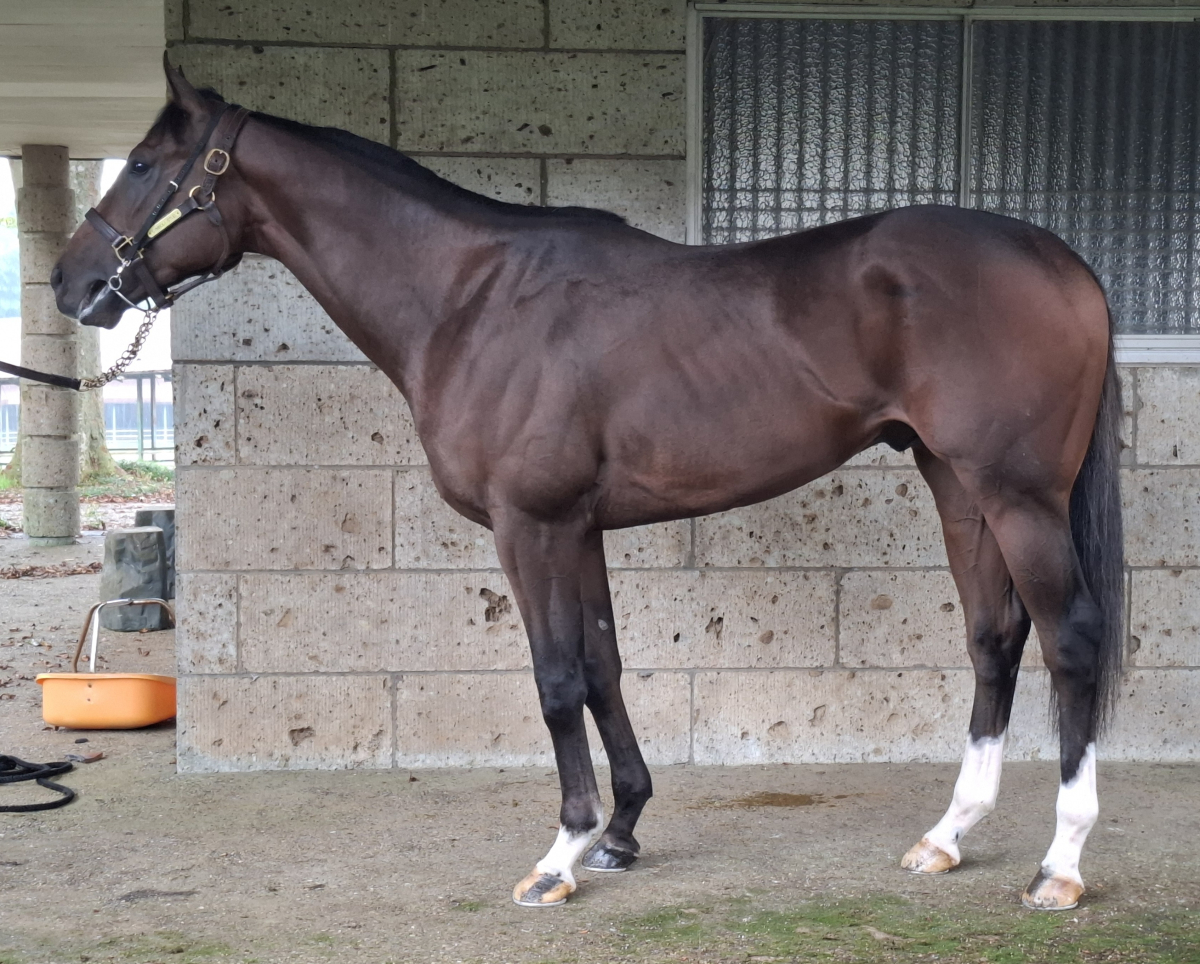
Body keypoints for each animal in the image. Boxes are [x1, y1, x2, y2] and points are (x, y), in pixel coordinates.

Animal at [52, 59, 1123, 912]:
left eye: (142, 164)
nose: (71, 284)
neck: (472, 299)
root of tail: (1066, 262)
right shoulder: (580, 528)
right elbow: (604, 664)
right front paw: (621, 833)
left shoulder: (529, 525)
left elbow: (557, 676)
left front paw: (561, 853)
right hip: (956, 483)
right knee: (994, 636)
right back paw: (947, 837)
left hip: (1017, 494)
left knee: (1069, 640)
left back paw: (1060, 866)